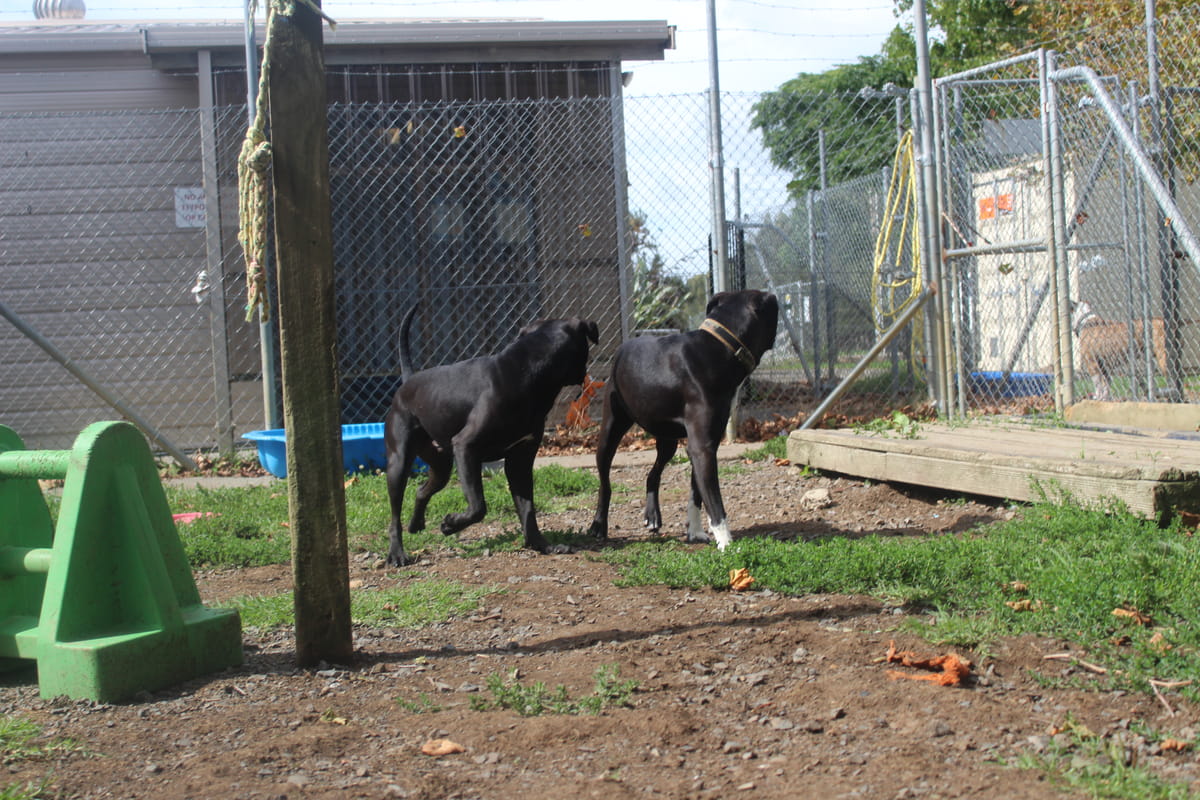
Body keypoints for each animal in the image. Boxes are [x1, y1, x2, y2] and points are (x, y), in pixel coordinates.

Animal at [588, 289, 777, 551]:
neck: (720, 347)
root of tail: (621, 350)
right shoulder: (702, 448)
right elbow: (714, 502)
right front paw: (727, 543)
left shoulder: (706, 445)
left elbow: (696, 494)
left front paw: (695, 532)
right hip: (610, 430)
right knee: (605, 483)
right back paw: (598, 525)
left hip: (667, 441)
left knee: (652, 474)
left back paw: (652, 515)